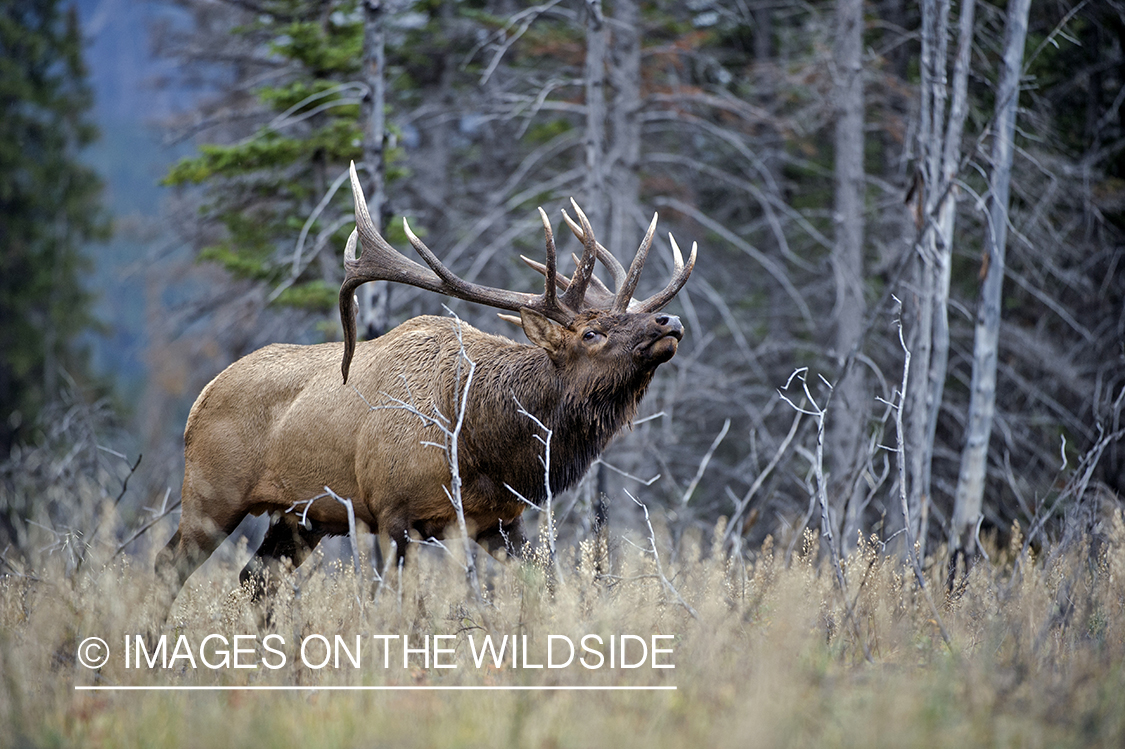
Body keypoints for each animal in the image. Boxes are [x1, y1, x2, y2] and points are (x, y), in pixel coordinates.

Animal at [149, 161, 693, 602]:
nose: (668, 322)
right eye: (591, 332)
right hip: (212, 493)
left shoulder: (500, 522)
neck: (482, 443)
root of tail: (198, 402)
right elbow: (398, 604)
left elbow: (546, 585)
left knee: (254, 581)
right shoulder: (392, 511)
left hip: (298, 517)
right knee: (168, 566)